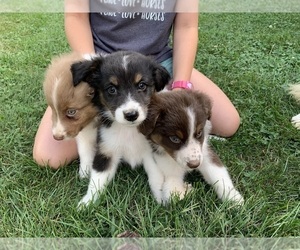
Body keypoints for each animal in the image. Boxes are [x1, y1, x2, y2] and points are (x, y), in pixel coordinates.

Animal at [69, 50, 170, 207]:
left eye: (142, 85)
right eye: (112, 89)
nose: (131, 115)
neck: (128, 130)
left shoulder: (152, 152)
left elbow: (157, 178)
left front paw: (162, 200)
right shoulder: (106, 151)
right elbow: (97, 180)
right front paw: (86, 203)